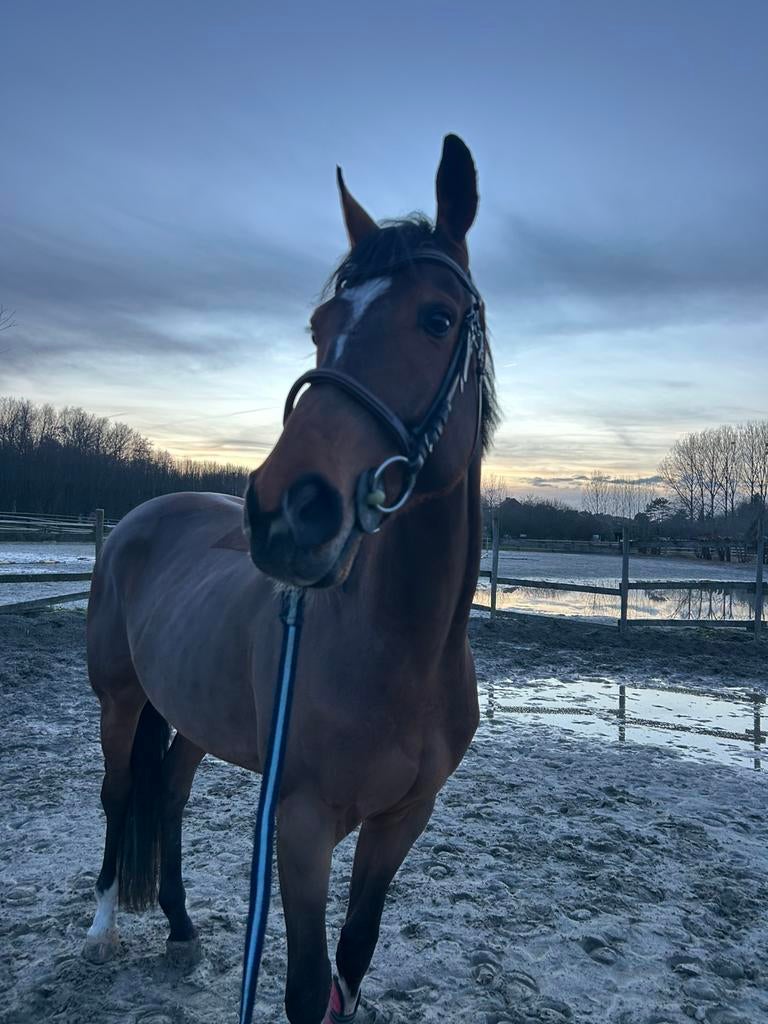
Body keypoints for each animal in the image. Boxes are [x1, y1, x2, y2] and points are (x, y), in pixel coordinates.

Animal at [83, 133, 498, 1024]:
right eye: (320, 325)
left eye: (437, 319)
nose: (285, 512)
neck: (400, 652)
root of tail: (138, 519)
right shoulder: (302, 828)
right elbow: (307, 987)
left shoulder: (400, 823)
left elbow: (353, 961)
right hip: (120, 700)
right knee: (118, 793)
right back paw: (101, 930)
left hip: (191, 714)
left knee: (168, 795)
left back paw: (180, 928)